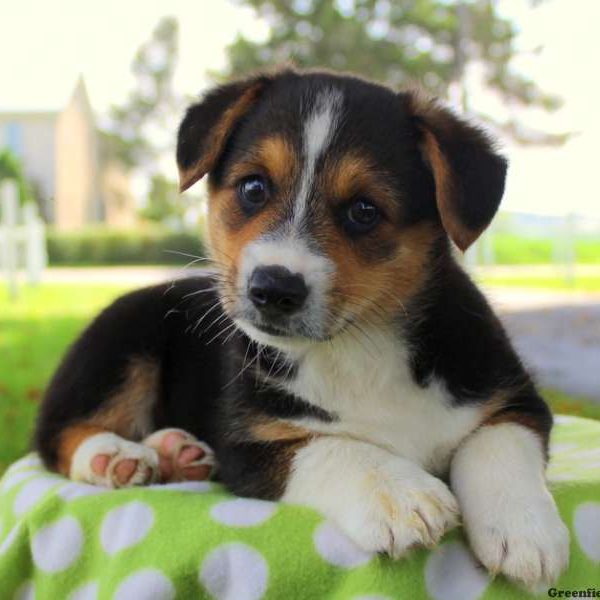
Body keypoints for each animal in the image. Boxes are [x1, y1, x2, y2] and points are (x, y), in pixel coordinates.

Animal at [35, 69, 568, 584]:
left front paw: (524, 532)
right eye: (253, 188)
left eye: (364, 210)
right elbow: (331, 447)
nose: (273, 288)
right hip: (122, 343)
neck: (359, 344)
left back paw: (174, 451)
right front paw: (401, 494)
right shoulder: (246, 444)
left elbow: (495, 447)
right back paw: (112, 455)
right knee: (55, 433)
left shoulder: (517, 400)